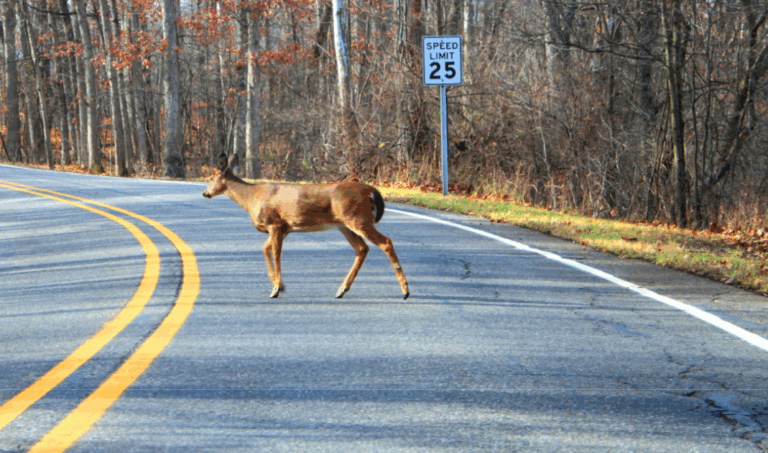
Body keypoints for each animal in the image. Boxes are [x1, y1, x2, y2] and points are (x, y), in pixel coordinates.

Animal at [203, 153, 410, 300]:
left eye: (211, 178)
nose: (205, 193)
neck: (252, 198)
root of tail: (372, 191)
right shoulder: (284, 228)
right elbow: (265, 249)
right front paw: (279, 285)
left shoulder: (275, 223)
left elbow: (276, 254)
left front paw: (276, 289)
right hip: (345, 224)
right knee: (362, 249)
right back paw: (341, 290)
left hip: (358, 219)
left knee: (385, 242)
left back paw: (405, 291)